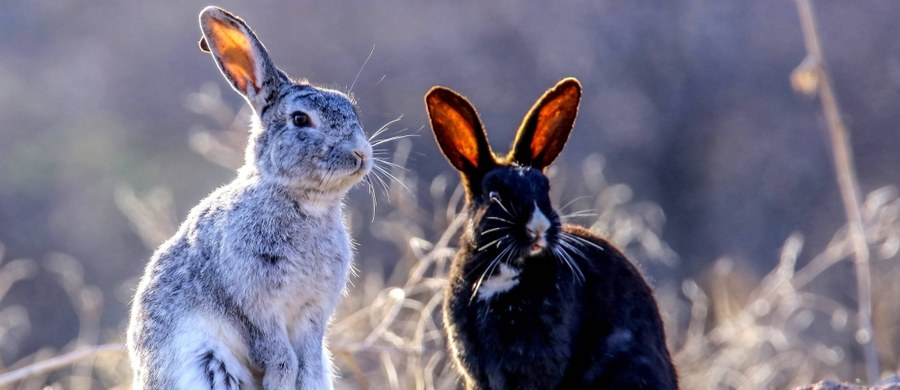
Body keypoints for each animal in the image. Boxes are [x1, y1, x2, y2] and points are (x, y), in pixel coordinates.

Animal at [125, 6, 370, 390]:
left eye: (351, 109)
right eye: (300, 119)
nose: (361, 153)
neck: (302, 203)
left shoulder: (313, 313)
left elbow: (310, 362)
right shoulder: (254, 308)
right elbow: (282, 359)